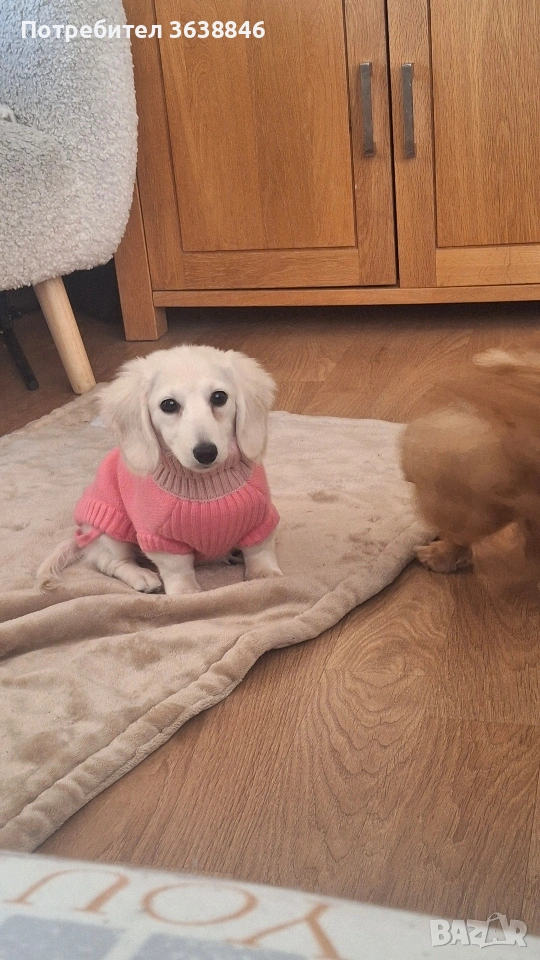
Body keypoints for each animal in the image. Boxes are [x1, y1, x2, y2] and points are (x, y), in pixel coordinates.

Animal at [37, 345, 283, 595]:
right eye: (169, 405)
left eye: (219, 397)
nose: (206, 453)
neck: (206, 486)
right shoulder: (160, 540)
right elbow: (178, 569)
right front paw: (187, 592)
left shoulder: (261, 519)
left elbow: (259, 550)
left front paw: (264, 576)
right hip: (107, 528)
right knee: (110, 562)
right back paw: (140, 576)